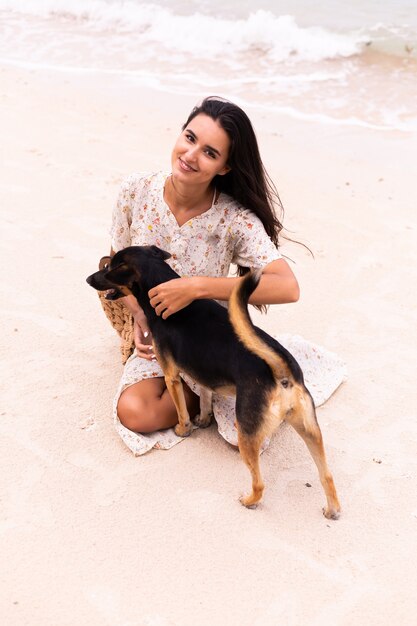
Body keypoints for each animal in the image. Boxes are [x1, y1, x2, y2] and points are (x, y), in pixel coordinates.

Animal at [86, 244, 340, 516]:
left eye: (109, 268)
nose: (88, 278)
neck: (159, 281)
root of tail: (280, 370)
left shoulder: (171, 375)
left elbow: (182, 412)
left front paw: (183, 429)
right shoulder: (204, 375)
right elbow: (206, 397)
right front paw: (204, 419)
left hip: (247, 432)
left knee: (260, 483)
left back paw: (249, 500)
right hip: (309, 429)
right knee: (326, 475)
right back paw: (332, 509)